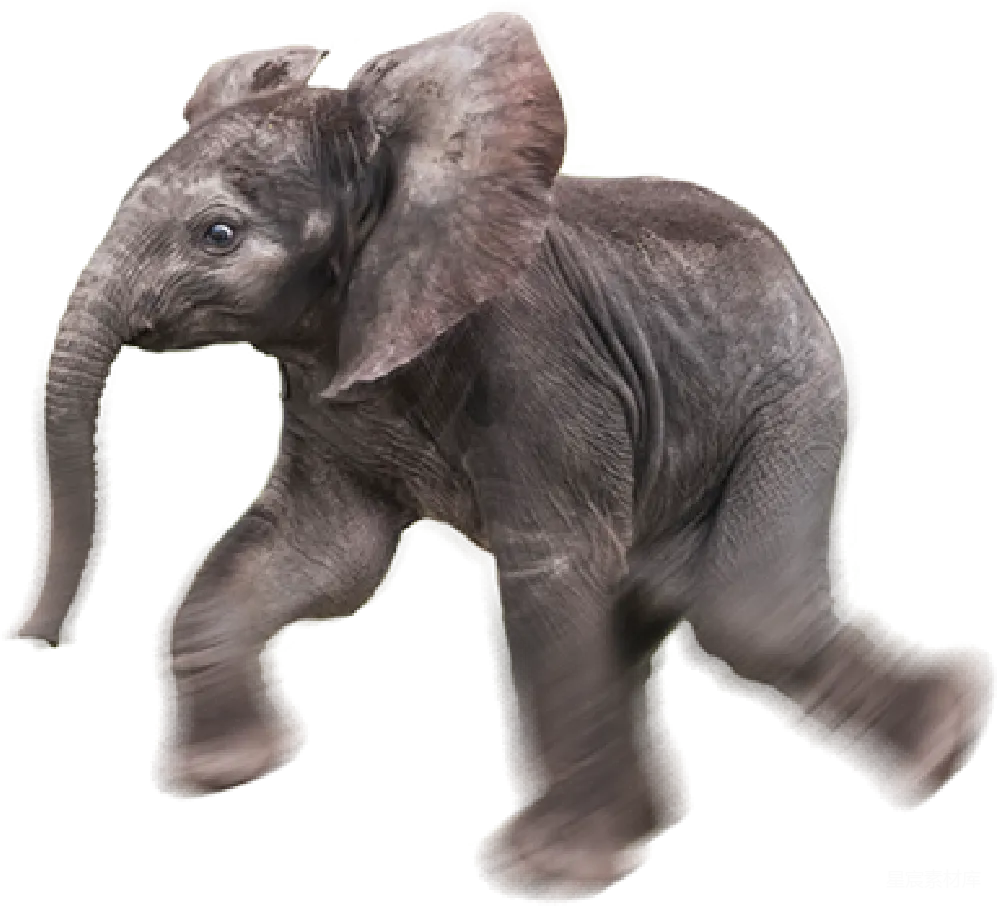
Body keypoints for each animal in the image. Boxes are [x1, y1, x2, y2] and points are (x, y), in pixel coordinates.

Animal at [6, 7, 996, 902]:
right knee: (670, 596)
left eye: (218, 235)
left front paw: (546, 877)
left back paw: (950, 737)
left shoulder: (539, 359)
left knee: (747, 615)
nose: (24, 637)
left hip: (799, 394)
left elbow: (546, 569)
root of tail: (803, 280)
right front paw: (219, 774)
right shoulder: (333, 365)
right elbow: (321, 546)